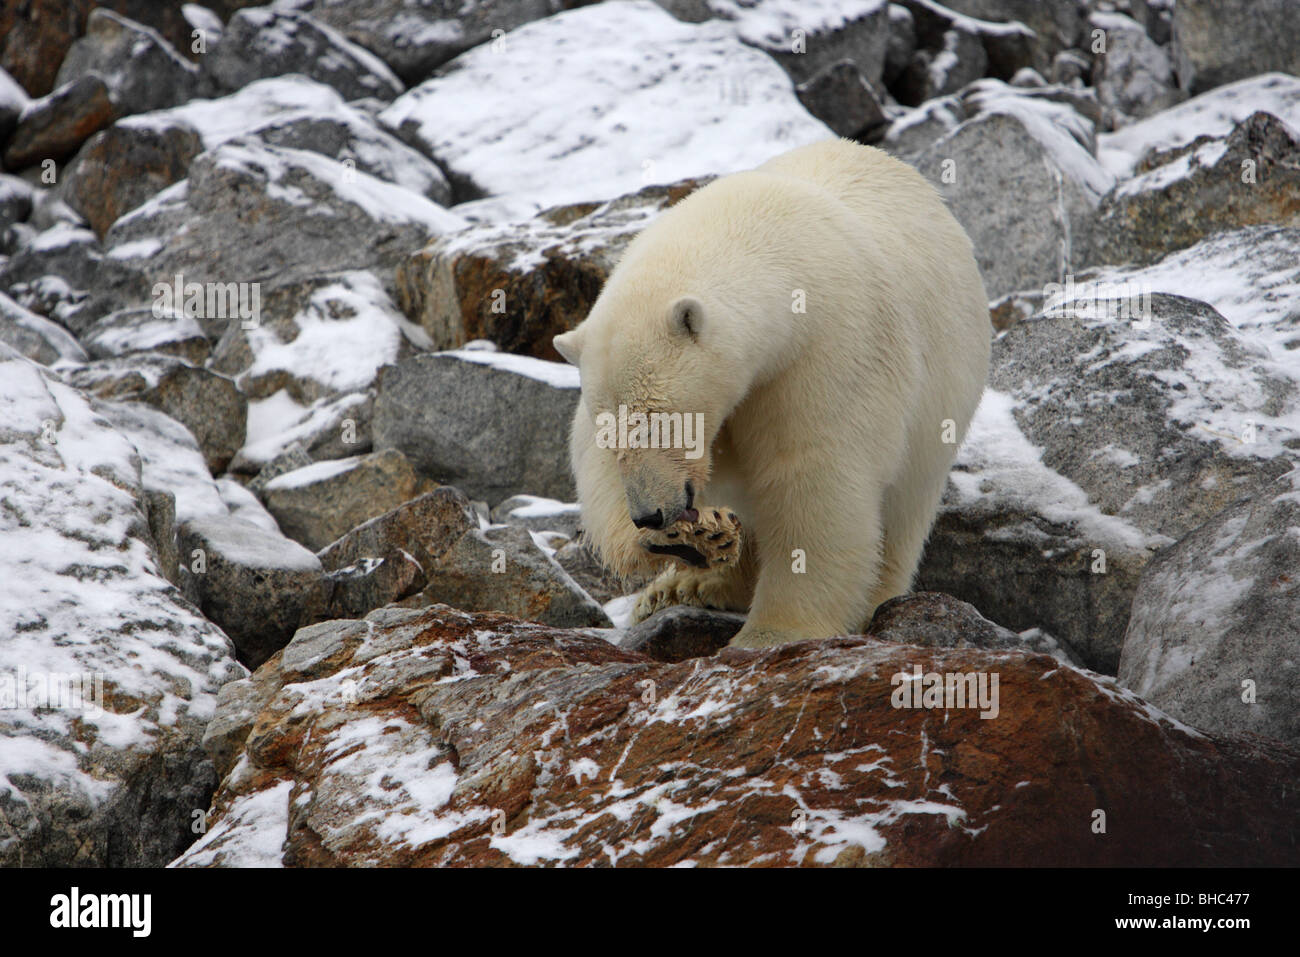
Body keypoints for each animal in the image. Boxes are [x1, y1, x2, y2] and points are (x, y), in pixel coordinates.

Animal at [553, 138, 987, 650]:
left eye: (661, 421)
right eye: (612, 432)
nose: (650, 515)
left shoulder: (825, 350)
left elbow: (815, 478)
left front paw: (770, 633)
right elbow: (593, 466)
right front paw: (689, 540)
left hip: (940, 406)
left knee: (902, 515)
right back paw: (685, 586)